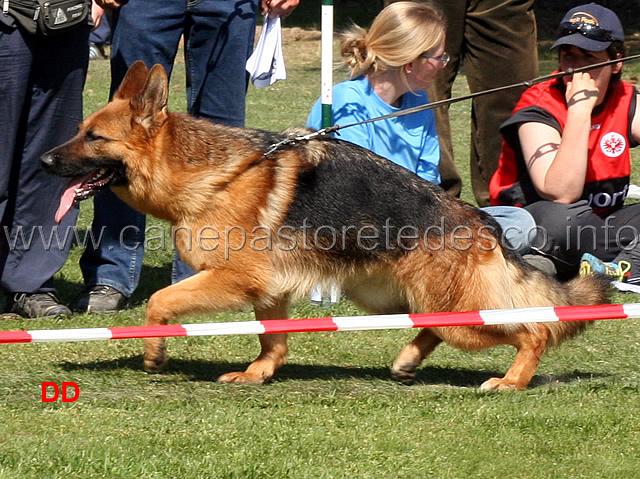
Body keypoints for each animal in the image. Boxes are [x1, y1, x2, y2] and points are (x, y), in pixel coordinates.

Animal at [40, 61, 608, 390]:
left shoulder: (234, 279)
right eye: (80, 131)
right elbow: (273, 341)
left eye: (93, 138)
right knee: (432, 327)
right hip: (390, 299)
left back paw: (512, 381)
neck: (209, 173)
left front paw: (156, 351)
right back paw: (407, 361)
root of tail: (478, 216)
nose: (43, 160)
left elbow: (160, 301)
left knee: (535, 327)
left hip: (458, 315)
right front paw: (258, 374)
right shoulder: (268, 289)